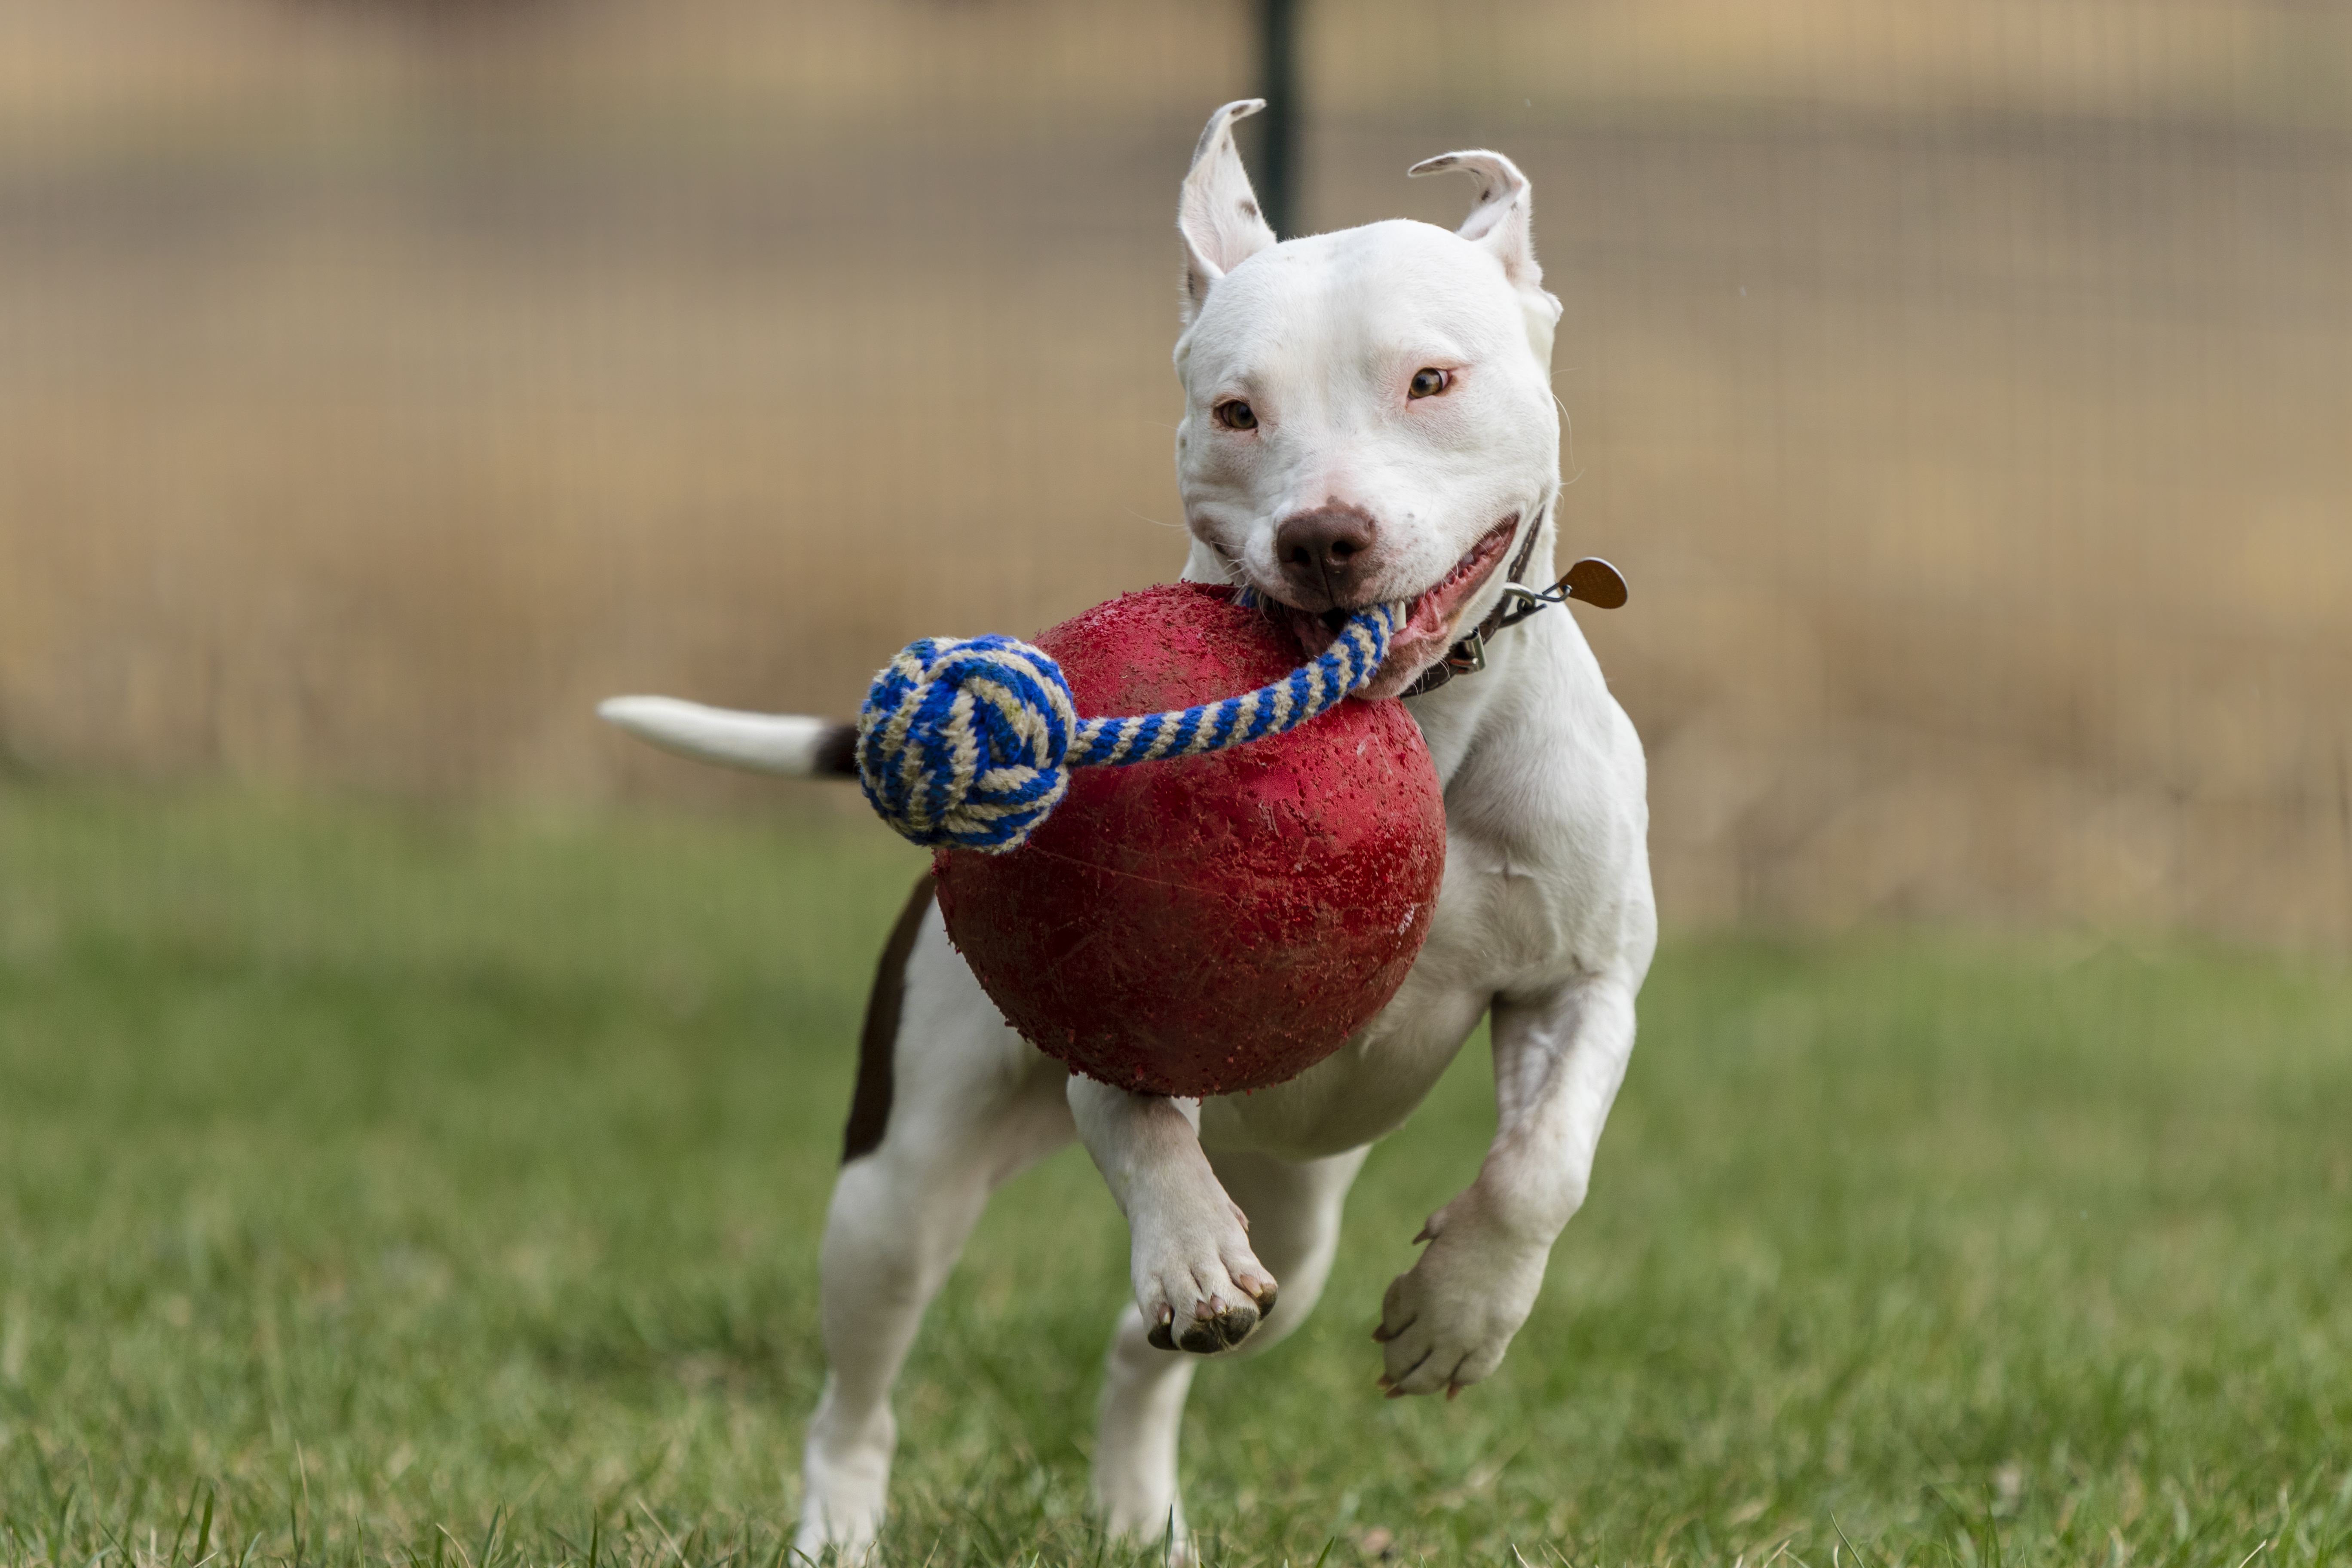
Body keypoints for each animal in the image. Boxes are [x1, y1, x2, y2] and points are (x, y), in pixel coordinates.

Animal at [602, 104, 1656, 1561]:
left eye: (1432, 381)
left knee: (1146, 1348)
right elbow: (1133, 1104)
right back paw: (845, 1523)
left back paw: (1138, 1509)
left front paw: (1462, 1310)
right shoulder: (1100, 995)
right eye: (1236, 411)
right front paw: (1188, 1232)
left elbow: (1544, 1165)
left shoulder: (1586, 978)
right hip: (899, 1184)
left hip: (1296, 1217)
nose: (1323, 535)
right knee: (861, 1384)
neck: (1426, 730)